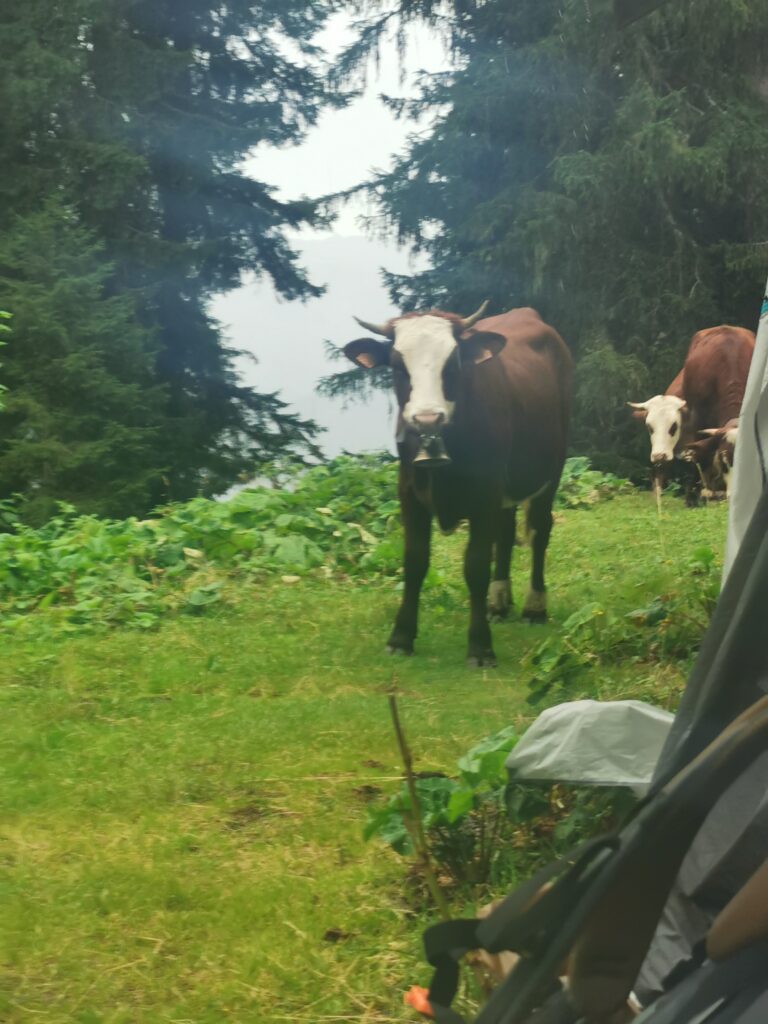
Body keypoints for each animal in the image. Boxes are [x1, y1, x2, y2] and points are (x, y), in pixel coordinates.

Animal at [342, 299, 573, 667]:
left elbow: (476, 566)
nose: (427, 419)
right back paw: (498, 602)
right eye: (397, 366)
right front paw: (401, 637)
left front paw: (480, 647)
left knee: (539, 530)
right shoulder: (409, 494)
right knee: (506, 533)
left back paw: (534, 607)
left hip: (552, 467)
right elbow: (414, 561)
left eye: (452, 364)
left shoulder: (485, 493)